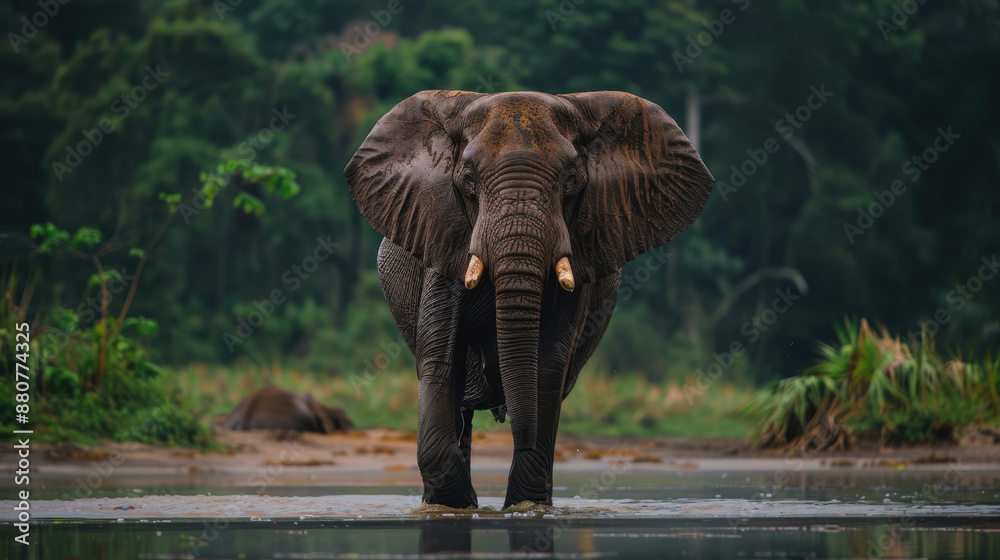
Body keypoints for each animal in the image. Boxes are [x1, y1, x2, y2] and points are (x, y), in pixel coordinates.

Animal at [344, 90, 714, 509]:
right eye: (468, 179)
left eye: (570, 180)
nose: (520, 437)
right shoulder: (444, 242)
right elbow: (441, 356)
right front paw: (455, 505)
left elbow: (549, 363)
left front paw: (527, 507)